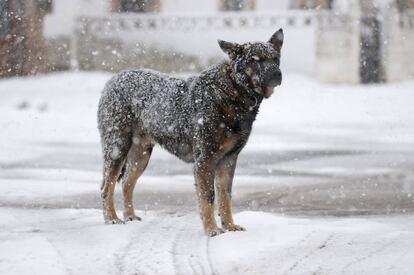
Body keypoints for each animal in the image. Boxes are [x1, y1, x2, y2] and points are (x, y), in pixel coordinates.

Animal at [98, 29, 284, 238]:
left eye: (275, 58)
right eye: (256, 59)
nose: (277, 74)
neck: (234, 89)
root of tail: (112, 80)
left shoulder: (228, 160)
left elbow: (225, 197)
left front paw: (229, 227)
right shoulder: (205, 160)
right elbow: (208, 198)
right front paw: (212, 230)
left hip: (141, 154)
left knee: (127, 183)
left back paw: (129, 216)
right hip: (118, 147)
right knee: (107, 186)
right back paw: (112, 219)